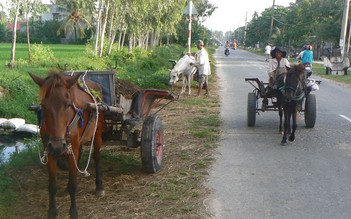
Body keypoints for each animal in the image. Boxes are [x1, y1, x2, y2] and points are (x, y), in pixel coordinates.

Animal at [28, 71, 106, 218]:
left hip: (97, 133)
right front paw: (52, 211)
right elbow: (52, 185)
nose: (57, 146)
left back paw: (99, 186)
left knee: (97, 157)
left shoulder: (70, 149)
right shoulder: (50, 150)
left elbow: (73, 185)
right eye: (44, 106)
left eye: (68, 105)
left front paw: (73, 211)